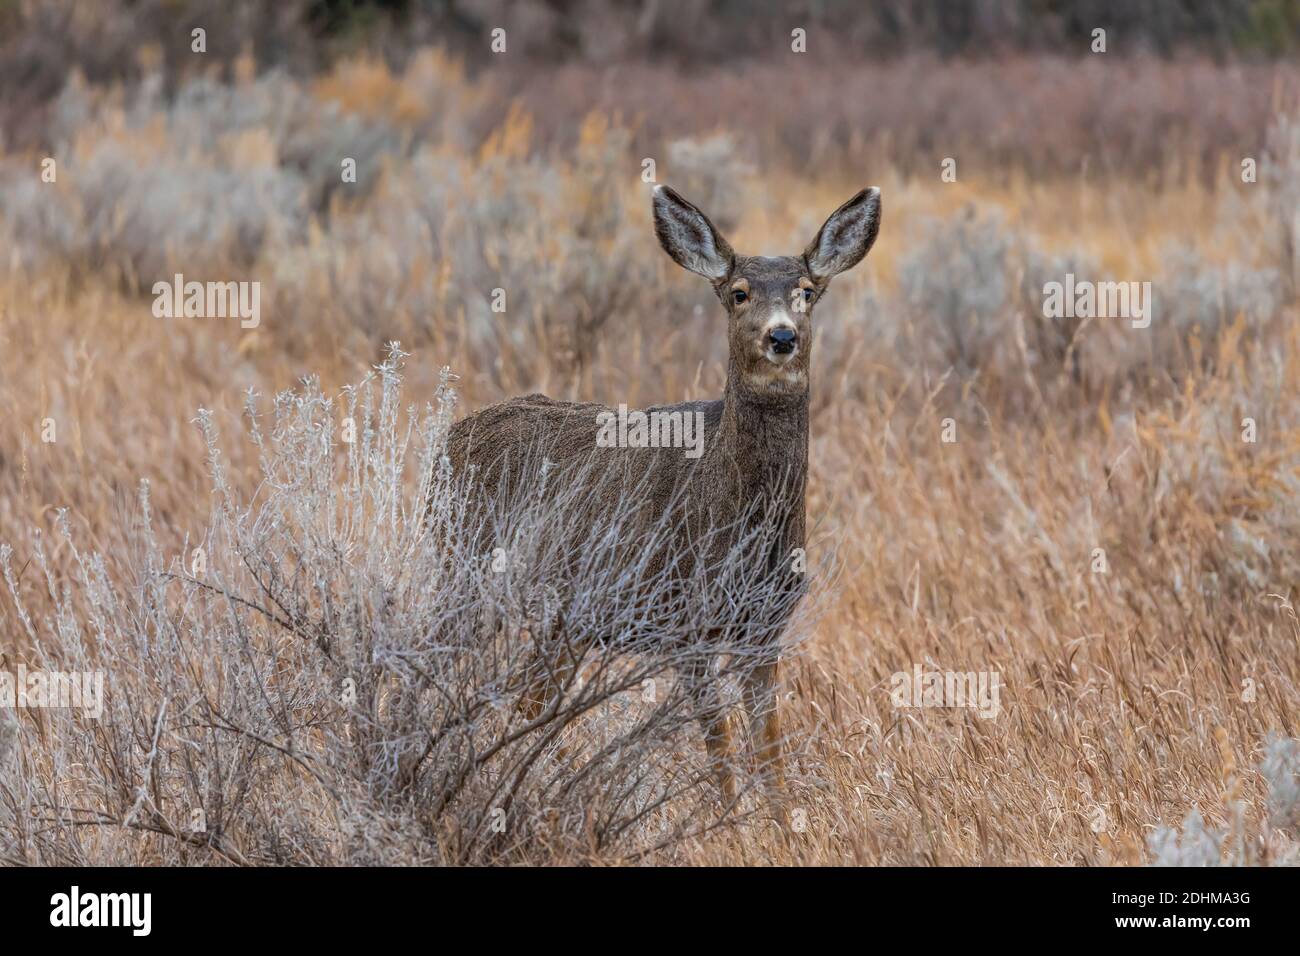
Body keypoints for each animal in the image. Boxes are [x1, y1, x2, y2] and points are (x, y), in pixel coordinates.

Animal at [442, 183, 881, 806]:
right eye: (739, 293)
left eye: (806, 291)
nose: (781, 336)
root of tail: (449, 439)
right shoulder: (685, 622)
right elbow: (719, 749)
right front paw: (728, 818)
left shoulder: (765, 628)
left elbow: (769, 752)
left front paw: (778, 818)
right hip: (458, 569)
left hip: (561, 621)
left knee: (525, 699)